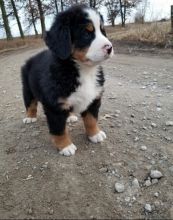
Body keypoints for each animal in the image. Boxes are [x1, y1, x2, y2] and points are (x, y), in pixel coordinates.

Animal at [21, 5, 113, 156]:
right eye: (86, 33)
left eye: (103, 31)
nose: (109, 47)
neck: (84, 70)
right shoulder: (54, 106)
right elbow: (59, 129)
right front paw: (65, 146)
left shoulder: (94, 98)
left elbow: (91, 119)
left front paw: (95, 134)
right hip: (27, 88)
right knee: (30, 103)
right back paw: (30, 117)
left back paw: (69, 116)